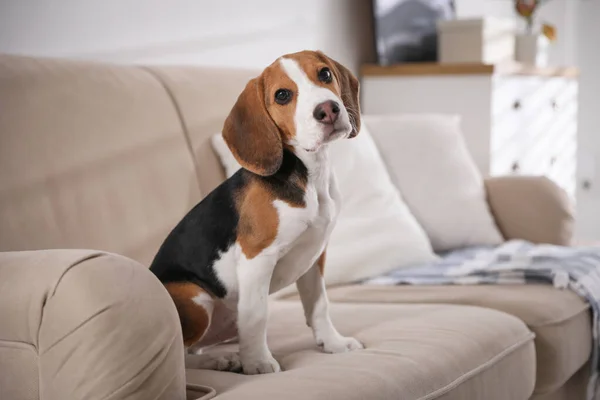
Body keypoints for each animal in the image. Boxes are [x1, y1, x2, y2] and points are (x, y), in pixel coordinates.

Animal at [152, 50, 364, 376]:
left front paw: (333, 343)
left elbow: (319, 305)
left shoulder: (315, 256)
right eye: (282, 95)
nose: (328, 110)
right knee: (183, 356)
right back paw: (223, 360)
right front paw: (258, 363)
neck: (309, 177)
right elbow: (256, 316)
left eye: (325, 74)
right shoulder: (257, 258)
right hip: (195, 300)